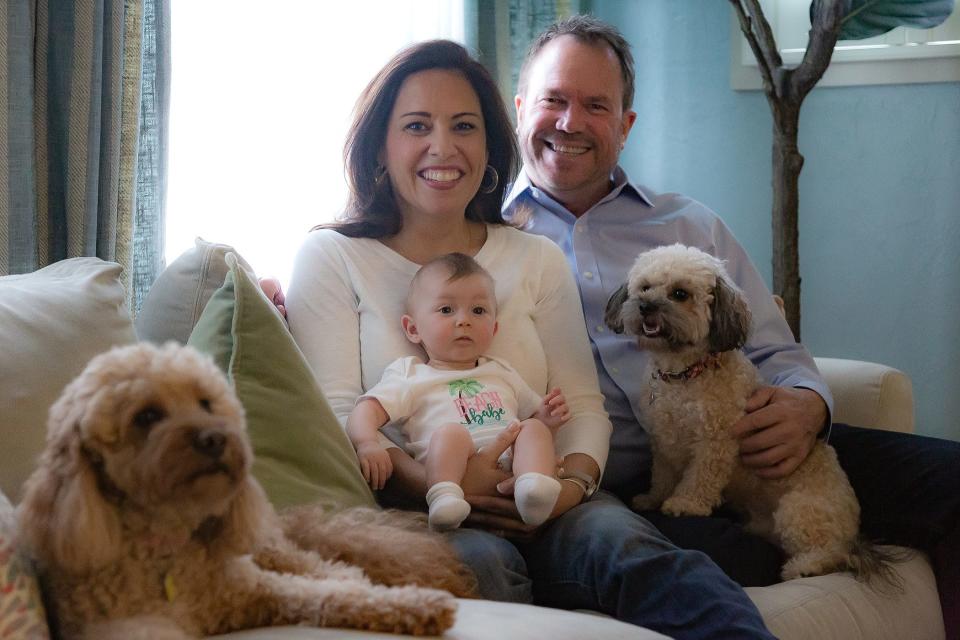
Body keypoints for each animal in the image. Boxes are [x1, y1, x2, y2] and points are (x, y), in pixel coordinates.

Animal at [14, 342, 464, 636]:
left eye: (205, 403)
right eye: (146, 416)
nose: (216, 439)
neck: (165, 551)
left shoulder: (257, 587)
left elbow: (331, 594)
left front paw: (417, 605)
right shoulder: (130, 626)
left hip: (270, 550)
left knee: (334, 570)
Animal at [608, 244, 884, 580]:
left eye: (679, 294)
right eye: (645, 287)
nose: (645, 306)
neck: (683, 374)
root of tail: (853, 532)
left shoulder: (715, 444)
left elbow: (699, 478)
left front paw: (685, 503)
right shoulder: (664, 444)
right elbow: (661, 477)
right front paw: (654, 498)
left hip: (798, 511)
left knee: (830, 553)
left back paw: (803, 567)